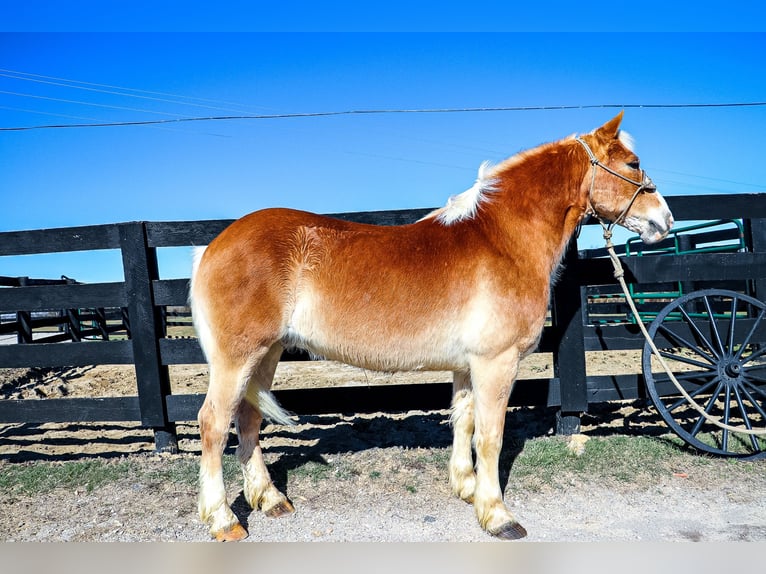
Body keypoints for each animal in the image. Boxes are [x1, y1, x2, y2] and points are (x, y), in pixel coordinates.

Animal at [190, 113, 672, 544]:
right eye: (633, 164)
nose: (664, 221)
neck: (502, 240)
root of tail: (213, 246)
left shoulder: (468, 365)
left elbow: (464, 422)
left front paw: (468, 489)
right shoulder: (497, 363)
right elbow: (491, 437)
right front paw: (498, 516)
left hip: (267, 354)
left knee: (248, 418)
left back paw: (269, 499)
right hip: (238, 359)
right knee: (213, 423)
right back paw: (223, 520)